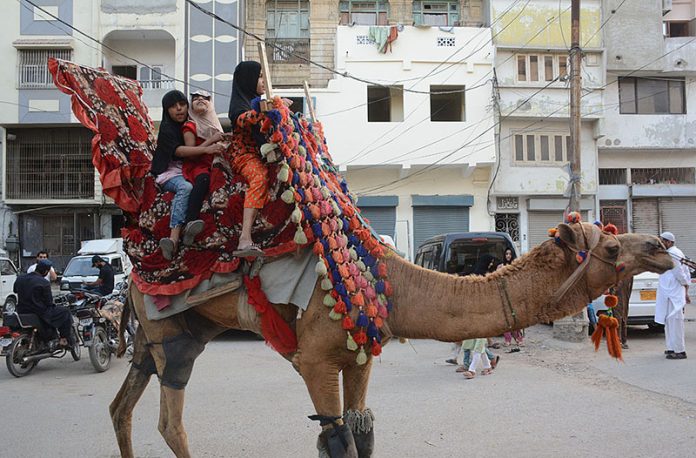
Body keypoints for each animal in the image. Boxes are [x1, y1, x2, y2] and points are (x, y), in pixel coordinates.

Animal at [109, 224, 676, 456]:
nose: (662, 247)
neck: (392, 286)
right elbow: (334, 438)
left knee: (122, 407)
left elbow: (362, 430)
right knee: (171, 421)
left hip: (160, 340)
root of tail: (133, 275)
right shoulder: (316, 359)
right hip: (172, 336)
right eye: (611, 246)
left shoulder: (357, 358)